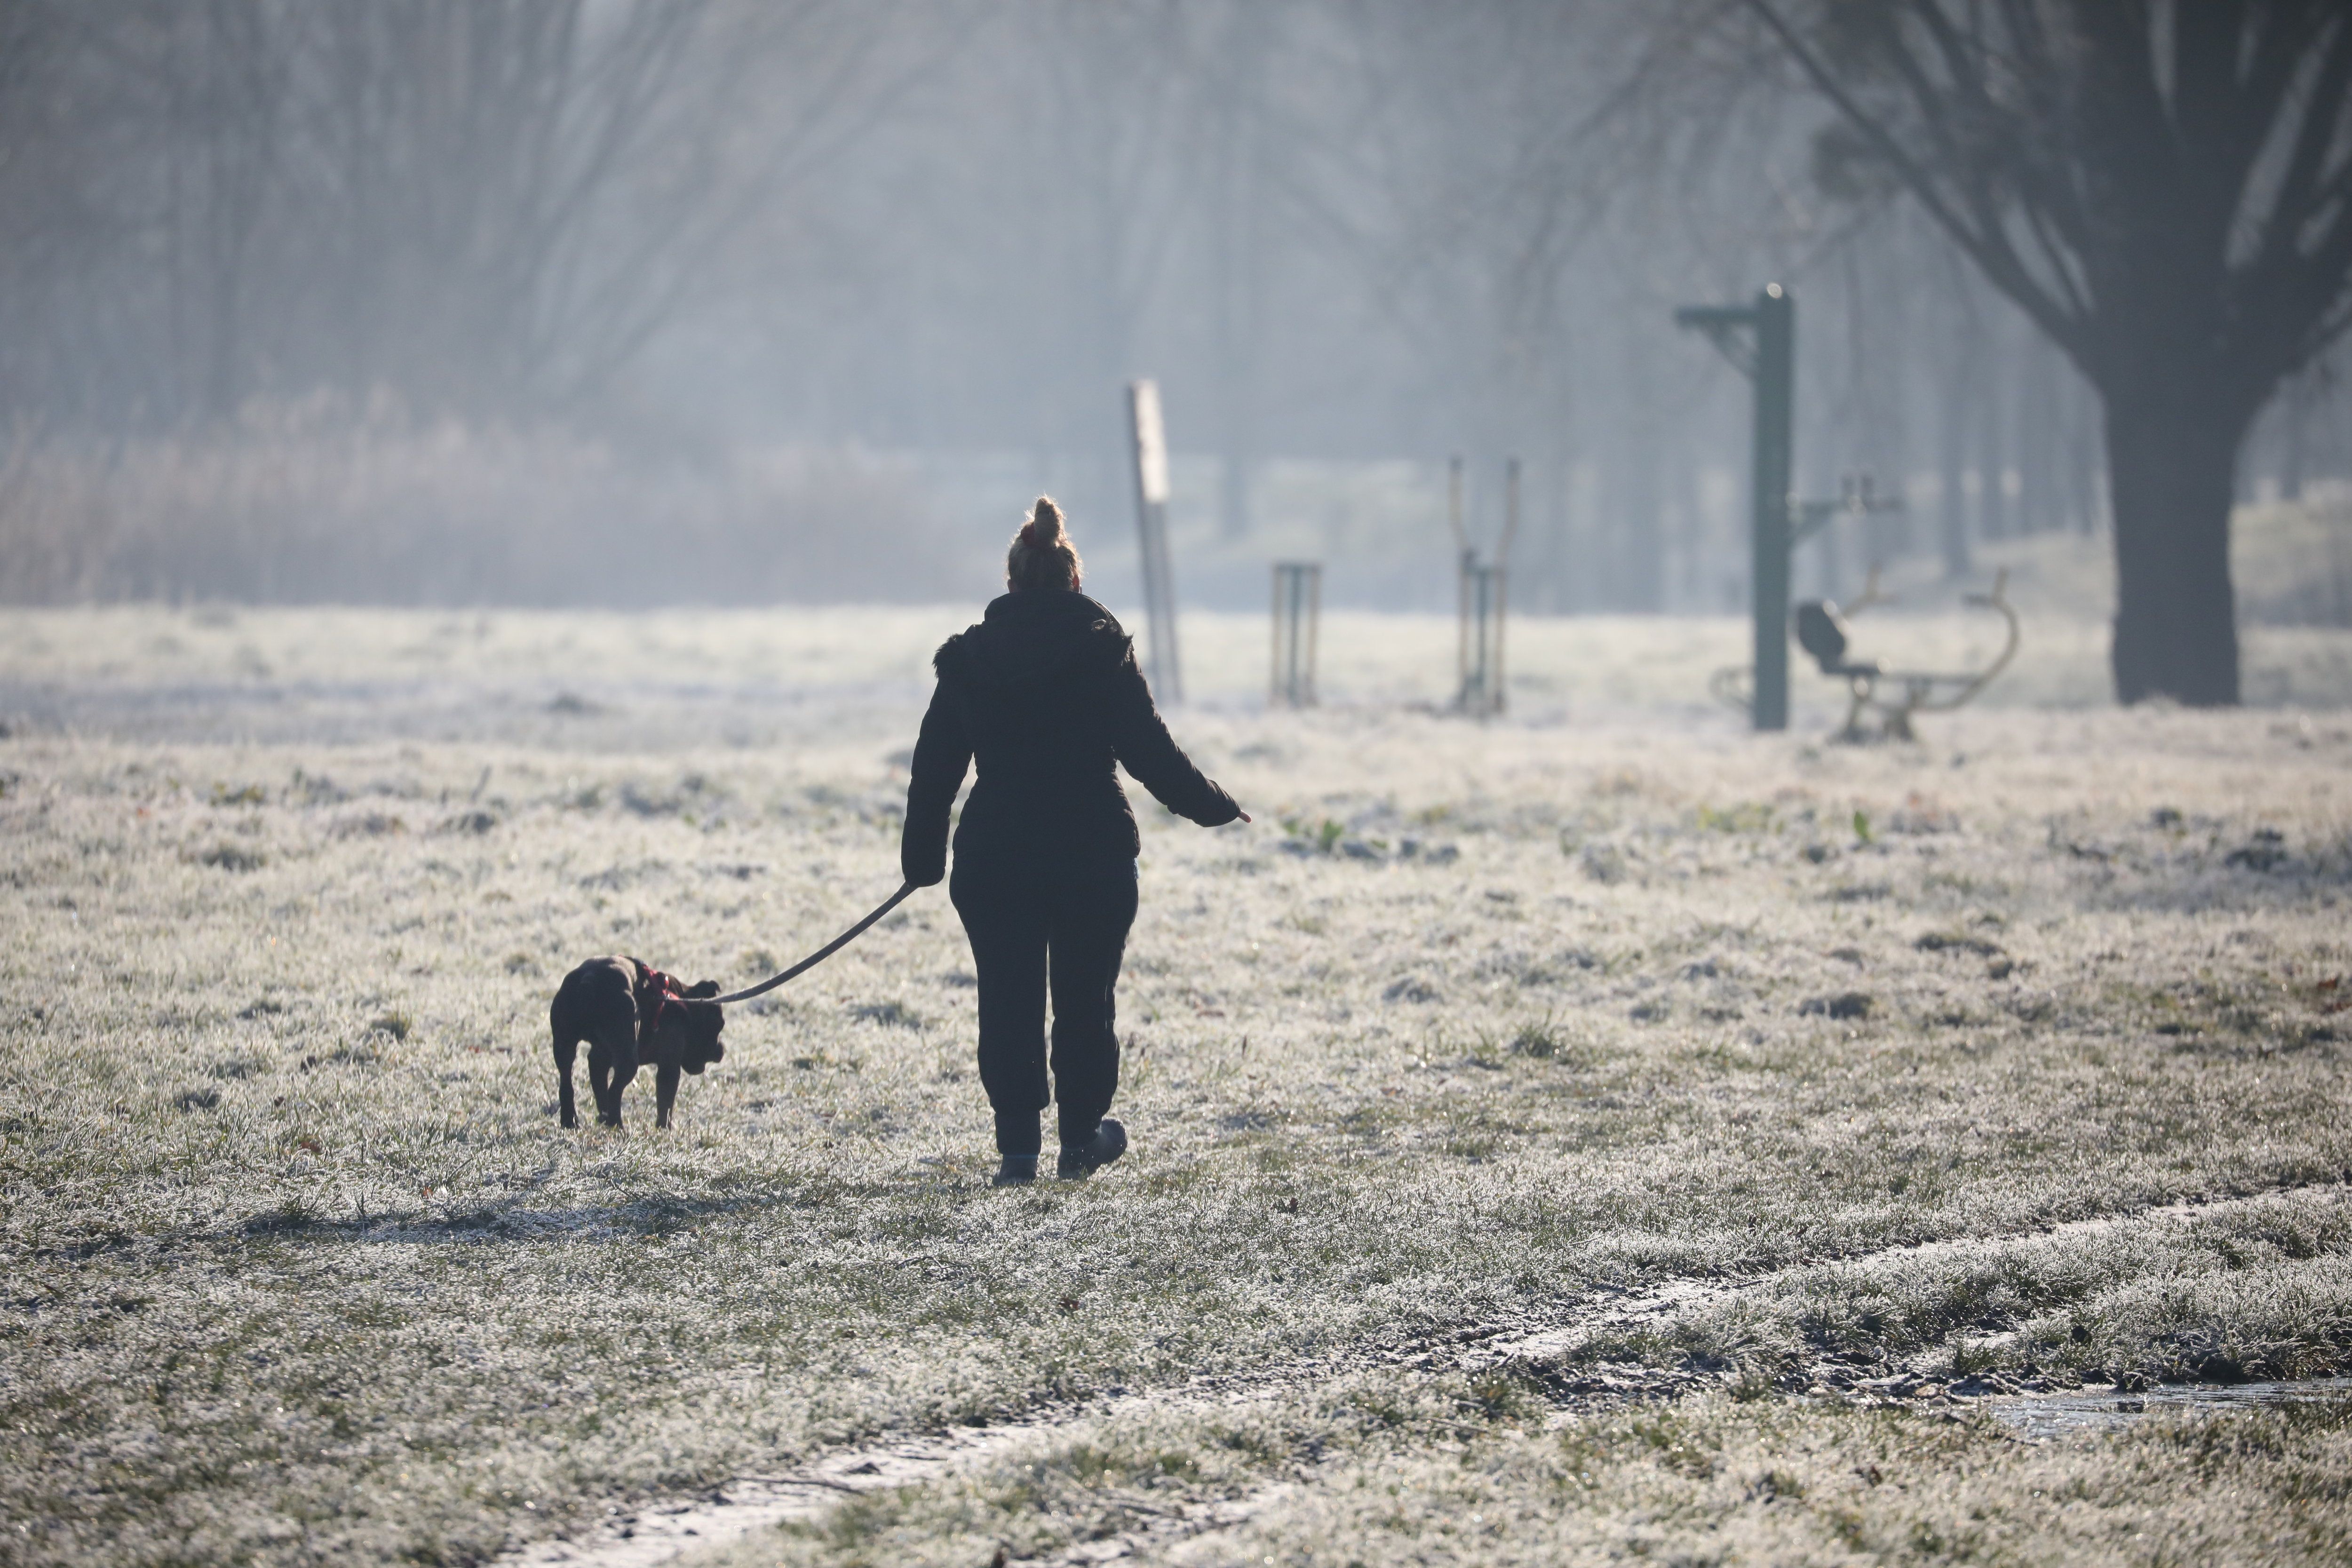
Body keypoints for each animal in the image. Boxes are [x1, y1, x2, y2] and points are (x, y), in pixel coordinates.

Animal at [550, 959, 724, 1128]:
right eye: (719, 1025)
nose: (721, 1050)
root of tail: (588, 981)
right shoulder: (669, 1065)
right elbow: (666, 1102)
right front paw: (664, 1128)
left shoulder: (599, 1058)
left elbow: (600, 1089)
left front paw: (603, 1118)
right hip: (628, 1060)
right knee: (614, 1091)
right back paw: (617, 1126)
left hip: (564, 1047)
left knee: (567, 1085)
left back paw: (571, 1121)